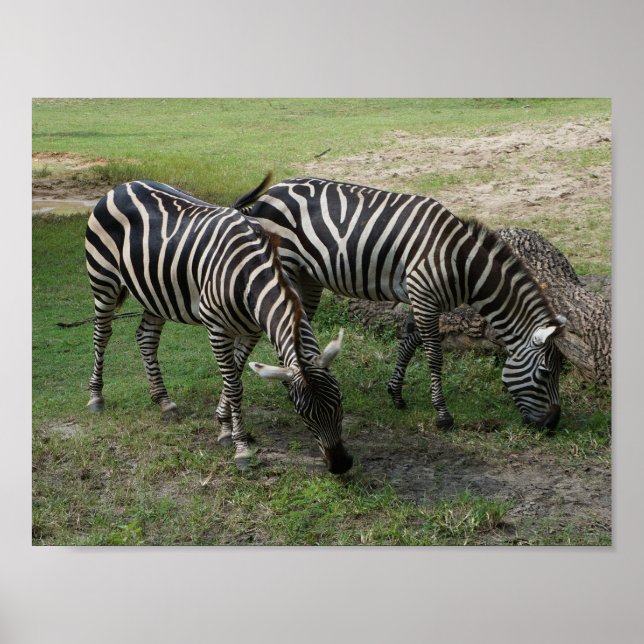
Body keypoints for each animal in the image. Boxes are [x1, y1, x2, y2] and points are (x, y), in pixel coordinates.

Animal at [84, 180, 353, 473]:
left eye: (339, 400)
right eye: (302, 413)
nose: (341, 465)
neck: (250, 275)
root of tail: (123, 186)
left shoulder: (251, 331)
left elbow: (235, 374)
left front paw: (224, 427)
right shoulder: (216, 328)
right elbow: (234, 385)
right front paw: (241, 448)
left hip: (155, 292)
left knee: (146, 337)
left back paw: (164, 402)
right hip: (103, 281)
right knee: (101, 335)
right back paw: (96, 397)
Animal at [233, 175, 566, 431]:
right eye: (545, 373)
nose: (553, 425)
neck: (461, 263)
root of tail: (269, 193)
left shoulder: (426, 299)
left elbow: (409, 343)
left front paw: (395, 394)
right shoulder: (424, 294)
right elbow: (434, 355)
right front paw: (443, 416)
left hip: (307, 278)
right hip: (284, 267)